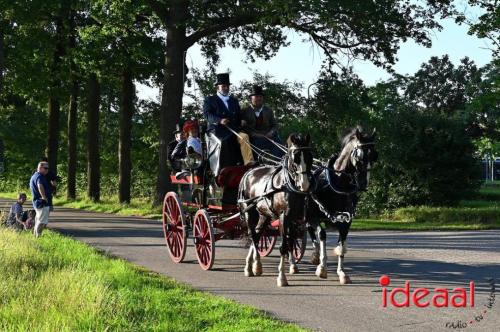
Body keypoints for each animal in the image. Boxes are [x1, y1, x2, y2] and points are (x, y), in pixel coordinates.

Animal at [238, 134, 312, 286]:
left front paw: (293, 266)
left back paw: (252, 264)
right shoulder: (284, 216)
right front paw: (282, 277)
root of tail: (248, 172)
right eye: (295, 158)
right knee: (252, 235)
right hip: (249, 212)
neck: (288, 185)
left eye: (309, 156)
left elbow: (291, 240)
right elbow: (283, 245)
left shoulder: (295, 218)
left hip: (264, 215)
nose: (305, 184)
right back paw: (255, 266)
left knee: (257, 234)